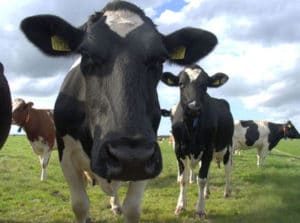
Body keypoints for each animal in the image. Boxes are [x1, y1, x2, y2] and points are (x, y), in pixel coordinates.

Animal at [20, 1, 218, 221]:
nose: (130, 157)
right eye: (86, 55)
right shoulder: (66, 156)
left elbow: (132, 208)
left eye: (159, 59)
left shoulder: (147, 159)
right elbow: (80, 205)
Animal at [162, 64, 234, 218]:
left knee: (227, 170)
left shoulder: (208, 149)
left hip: (228, 147)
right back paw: (207, 192)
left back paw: (227, 191)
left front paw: (200, 210)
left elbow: (201, 179)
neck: (191, 127)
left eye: (205, 85)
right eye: (181, 84)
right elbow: (183, 179)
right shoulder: (179, 150)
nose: (193, 107)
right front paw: (181, 205)